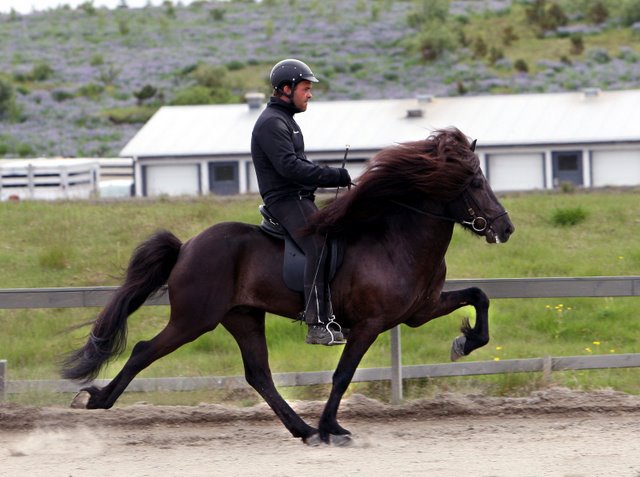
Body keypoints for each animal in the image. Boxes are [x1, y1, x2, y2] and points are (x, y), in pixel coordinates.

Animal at [62, 126, 516, 442]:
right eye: (477, 183)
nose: (505, 228)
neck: (396, 241)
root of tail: (187, 246)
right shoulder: (370, 324)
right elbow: (343, 375)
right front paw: (333, 426)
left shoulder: (420, 310)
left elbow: (480, 297)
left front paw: (465, 343)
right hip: (194, 320)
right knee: (144, 351)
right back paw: (95, 399)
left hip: (243, 317)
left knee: (259, 374)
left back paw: (303, 429)